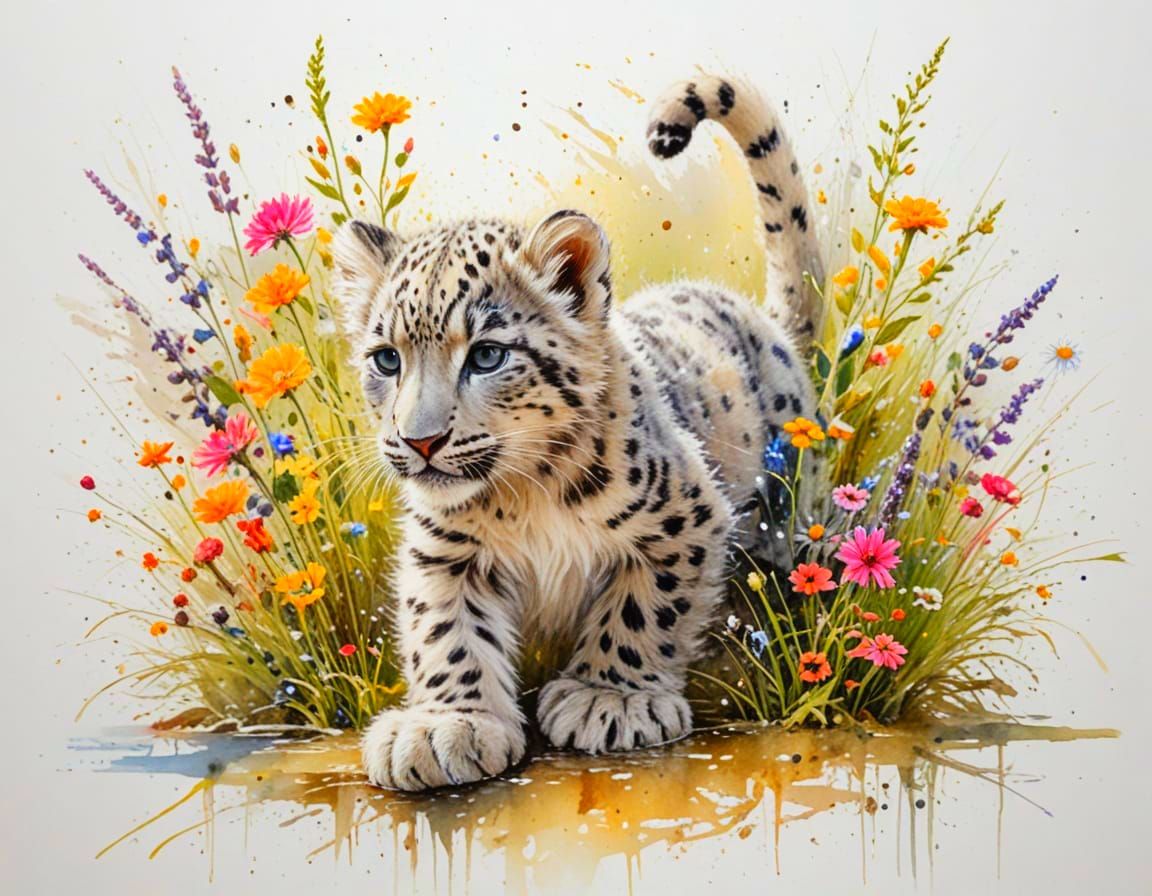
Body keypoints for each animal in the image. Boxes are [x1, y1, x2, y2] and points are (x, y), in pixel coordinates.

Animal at [331, 74, 823, 791]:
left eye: (487, 355)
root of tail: (760, 318)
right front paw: (447, 724)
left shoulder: (687, 518)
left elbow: (647, 606)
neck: (523, 495)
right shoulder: (443, 549)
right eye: (386, 359)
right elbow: (445, 627)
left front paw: (609, 699)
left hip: (789, 516)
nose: (420, 441)